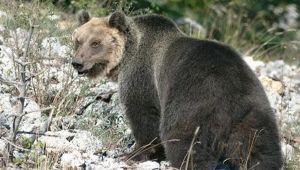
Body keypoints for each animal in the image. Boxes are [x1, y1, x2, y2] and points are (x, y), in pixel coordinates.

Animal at [71, 11, 282, 169]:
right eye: (78, 40)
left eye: (96, 43)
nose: (77, 63)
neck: (126, 56)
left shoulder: (143, 77)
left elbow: (143, 116)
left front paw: (131, 153)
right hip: (254, 114)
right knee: (260, 152)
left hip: (192, 103)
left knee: (184, 142)